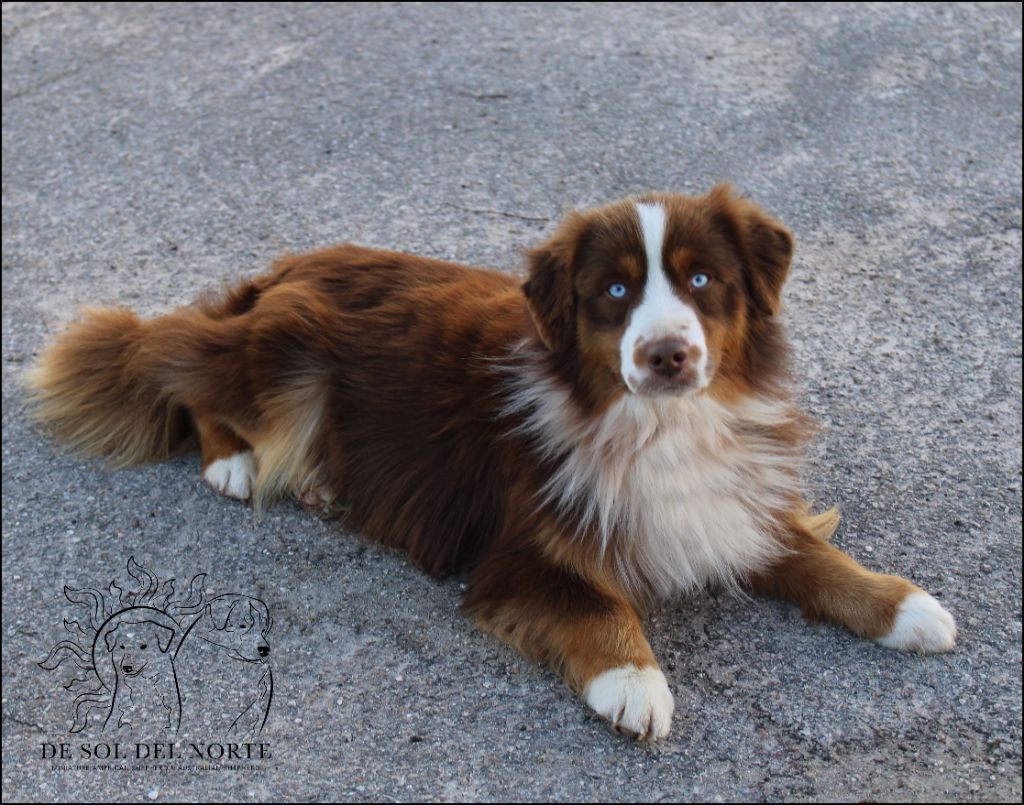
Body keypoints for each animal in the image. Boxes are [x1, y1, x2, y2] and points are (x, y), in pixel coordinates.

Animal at [28, 185, 954, 737]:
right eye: (614, 290)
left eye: (701, 279)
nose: (666, 355)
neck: (660, 423)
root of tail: (282, 268)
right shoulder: (518, 545)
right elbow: (591, 600)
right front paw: (634, 681)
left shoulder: (731, 496)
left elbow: (815, 554)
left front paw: (903, 605)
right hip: (293, 359)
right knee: (176, 371)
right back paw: (238, 465)